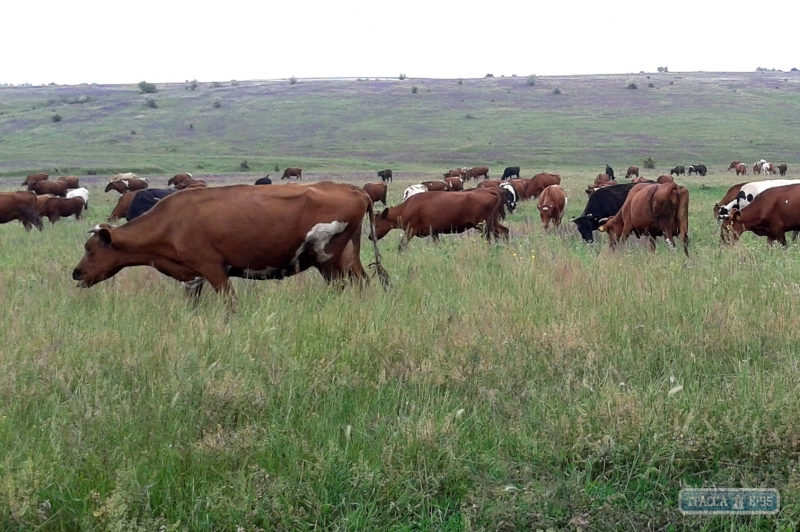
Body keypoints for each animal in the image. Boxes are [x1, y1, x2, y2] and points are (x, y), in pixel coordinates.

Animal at [70, 181, 390, 304]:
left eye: (90, 249)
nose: (76, 272)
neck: (171, 221)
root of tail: (354, 189)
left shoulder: (214, 270)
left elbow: (230, 304)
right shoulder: (193, 278)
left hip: (329, 261)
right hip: (347, 258)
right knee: (363, 283)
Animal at [376, 189, 506, 251]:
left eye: (376, 224)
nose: (372, 237)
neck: (407, 208)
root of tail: (489, 191)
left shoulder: (410, 231)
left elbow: (401, 246)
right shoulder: (434, 233)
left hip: (483, 226)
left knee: (489, 239)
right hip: (493, 223)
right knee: (504, 231)